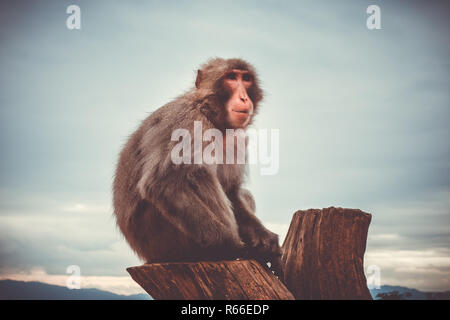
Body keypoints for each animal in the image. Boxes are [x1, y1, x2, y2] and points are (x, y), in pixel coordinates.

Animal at [112, 57, 282, 276]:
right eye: (231, 77)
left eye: (246, 79)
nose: (244, 98)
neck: (209, 114)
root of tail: (146, 256)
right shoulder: (188, 122)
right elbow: (162, 184)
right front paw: (234, 247)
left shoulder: (237, 139)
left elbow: (231, 191)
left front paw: (266, 240)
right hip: (164, 241)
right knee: (197, 174)